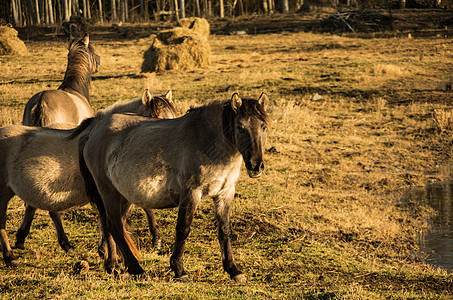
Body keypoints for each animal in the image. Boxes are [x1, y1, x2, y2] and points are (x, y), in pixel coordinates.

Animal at [78, 92, 268, 282]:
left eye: (264, 127)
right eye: (240, 127)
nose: (256, 166)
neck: (208, 141)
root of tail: (93, 133)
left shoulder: (225, 192)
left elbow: (225, 231)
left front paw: (234, 270)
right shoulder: (191, 193)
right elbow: (183, 229)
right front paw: (179, 270)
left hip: (121, 195)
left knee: (111, 225)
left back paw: (114, 266)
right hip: (108, 192)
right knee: (115, 225)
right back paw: (136, 269)